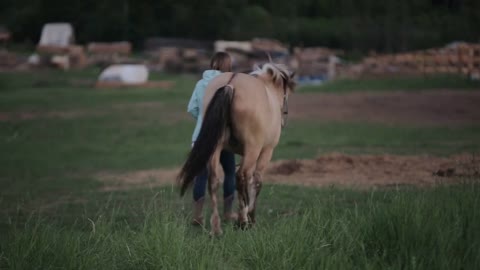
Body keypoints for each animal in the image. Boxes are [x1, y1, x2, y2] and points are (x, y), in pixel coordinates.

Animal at [178, 62, 294, 235]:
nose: (284, 115)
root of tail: (231, 84)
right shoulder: (265, 152)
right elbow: (256, 181)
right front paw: (250, 218)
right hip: (253, 149)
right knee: (241, 177)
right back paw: (243, 222)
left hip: (216, 149)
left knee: (214, 181)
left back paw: (216, 229)